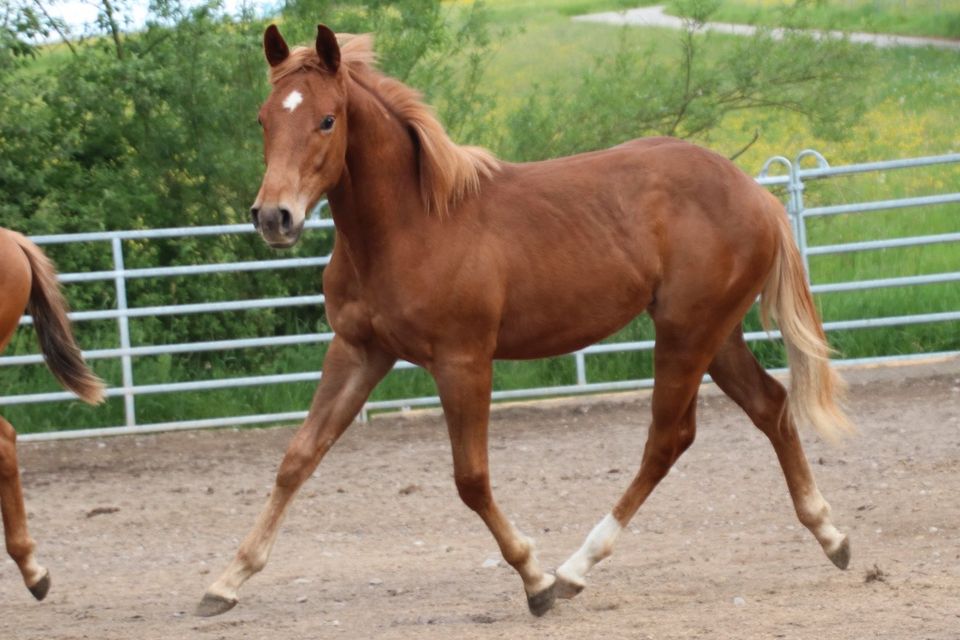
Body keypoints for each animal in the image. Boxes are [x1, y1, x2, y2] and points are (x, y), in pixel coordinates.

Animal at [197, 26, 856, 620]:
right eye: (263, 120)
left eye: (328, 120)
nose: (274, 217)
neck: (413, 226)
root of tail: (756, 195)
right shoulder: (359, 351)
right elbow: (298, 457)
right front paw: (226, 581)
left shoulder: (462, 361)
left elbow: (471, 478)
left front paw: (534, 579)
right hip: (715, 335)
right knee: (770, 406)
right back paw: (832, 536)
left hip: (686, 333)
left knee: (668, 439)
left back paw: (574, 570)